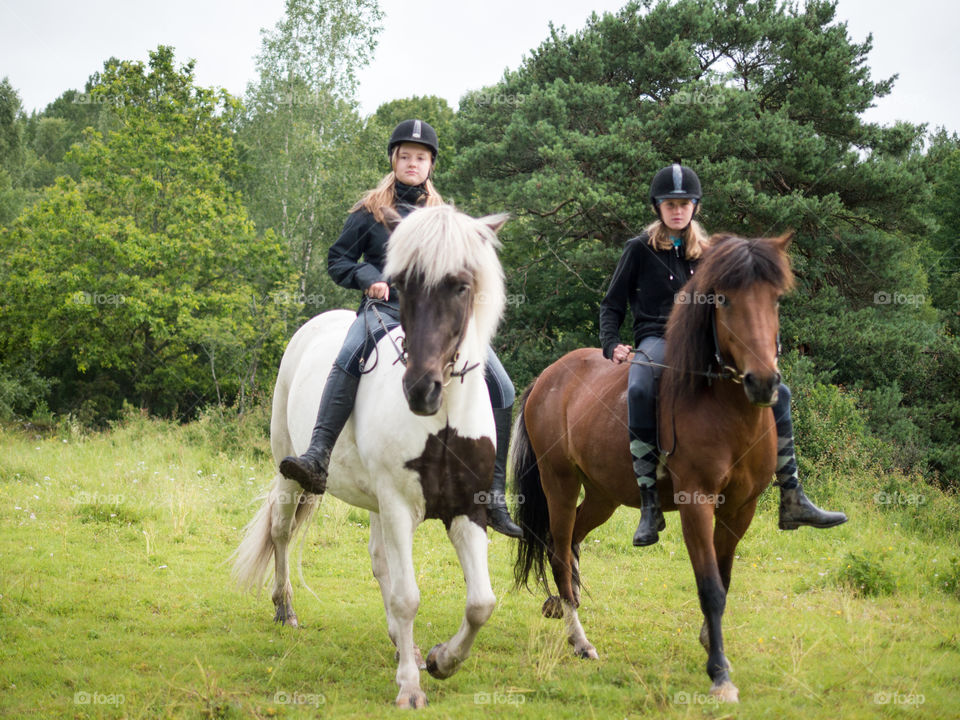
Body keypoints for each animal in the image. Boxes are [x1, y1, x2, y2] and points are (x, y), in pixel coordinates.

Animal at [233, 204, 510, 708]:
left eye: (461, 285)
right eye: (401, 284)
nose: (420, 390)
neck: (441, 422)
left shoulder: (467, 510)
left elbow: (481, 603)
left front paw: (440, 660)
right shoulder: (399, 506)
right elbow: (407, 596)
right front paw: (410, 688)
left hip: (376, 503)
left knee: (380, 561)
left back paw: (404, 643)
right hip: (290, 470)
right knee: (282, 531)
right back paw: (285, 609)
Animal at [512, 232, 800, 704]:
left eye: (775, 298)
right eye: (722, 298)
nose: (763, 383)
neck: (724, 411)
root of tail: (549, 377)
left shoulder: (740, 509)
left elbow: (724, 579)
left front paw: (712, 644)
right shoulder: (695, 504)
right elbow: (710, 587)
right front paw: (719, 675)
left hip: (602, 496)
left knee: (569, 543)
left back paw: (562, 604)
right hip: (560, 484)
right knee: (558, 550)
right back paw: (580, 640)